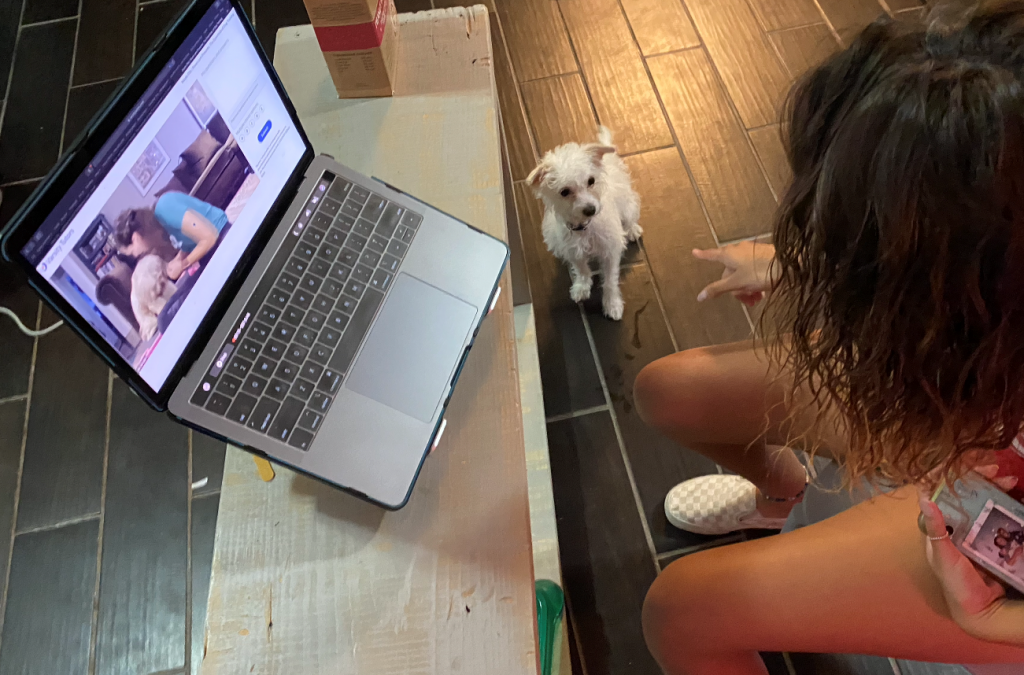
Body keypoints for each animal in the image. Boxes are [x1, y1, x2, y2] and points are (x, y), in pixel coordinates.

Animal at [528, 127, 638, 321]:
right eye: (564, 192)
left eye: (591, 181)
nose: (591, 209)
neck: (584, 228)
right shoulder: (572, 250)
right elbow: (581, 269)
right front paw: (581, 286)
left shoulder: (610, 252)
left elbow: (610, 280)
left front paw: (612, 304)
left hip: (625, 203)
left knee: (631, 212)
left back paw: (632, 229)